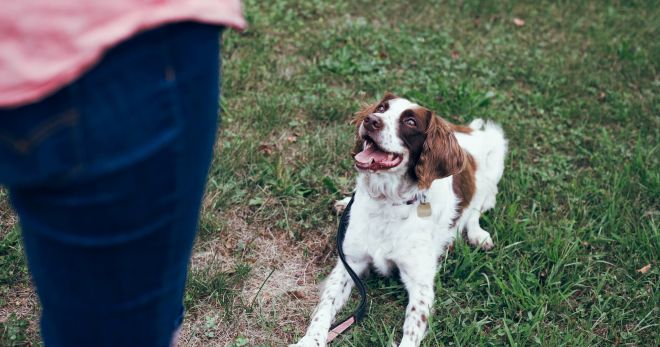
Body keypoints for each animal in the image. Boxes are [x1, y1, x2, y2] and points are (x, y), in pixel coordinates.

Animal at [292, 93, 508, 347]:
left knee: (476, 208)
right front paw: (309, 340)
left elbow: (412, 326)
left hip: (495, 154)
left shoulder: (420, 283)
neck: (387, 201)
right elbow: (324, 308)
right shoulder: (350, 263)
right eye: (381, 108)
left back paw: (477, 234)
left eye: (410, 122)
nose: (370, 120)